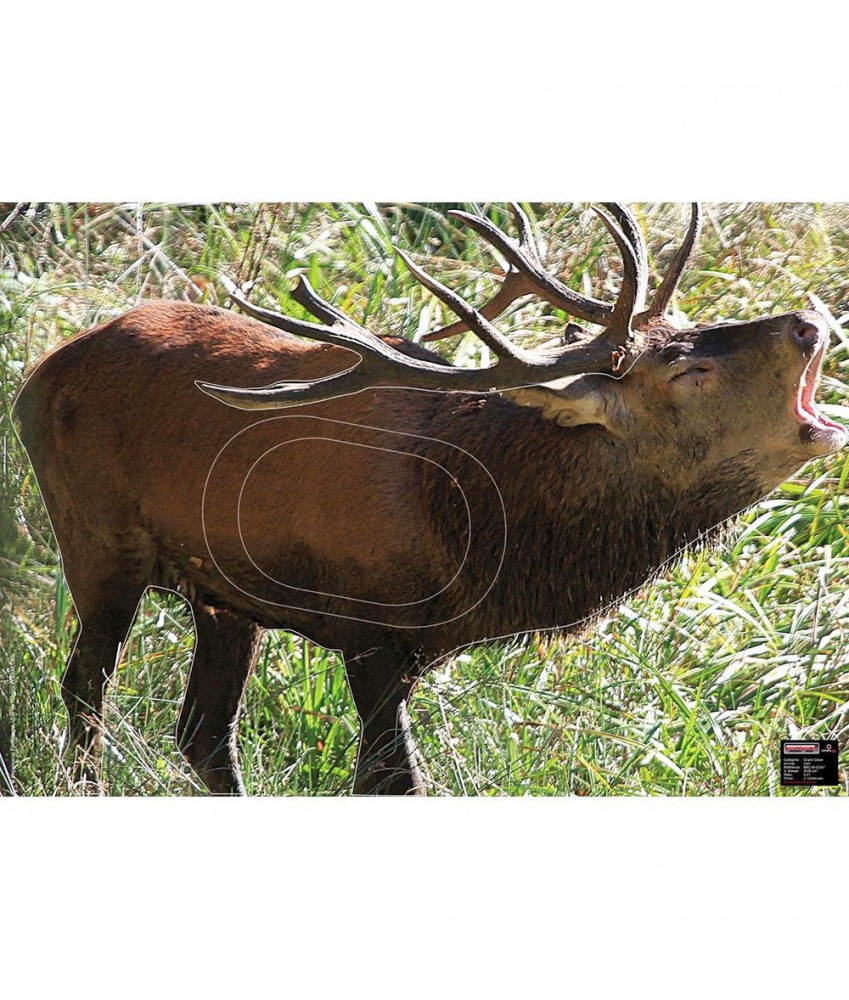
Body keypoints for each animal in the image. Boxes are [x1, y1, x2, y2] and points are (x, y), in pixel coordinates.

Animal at [13, 203, 847, 795]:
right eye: (686, 372)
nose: (809, 321)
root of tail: (38, 374)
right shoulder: (370, 628)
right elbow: (395, 782)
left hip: (221, 592)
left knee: (203, 736)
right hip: (96, 538)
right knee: (86, 692)